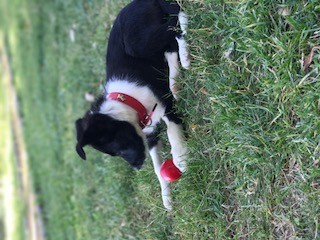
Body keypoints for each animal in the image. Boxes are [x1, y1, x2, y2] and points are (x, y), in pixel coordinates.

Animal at [75, 0, 190, 210]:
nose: (137, 167)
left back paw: (184, 56)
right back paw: (175, 80)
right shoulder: (149, 134)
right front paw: (166, 196)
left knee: (176, 19)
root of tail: (138, 2)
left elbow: (172, 130)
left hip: (141, 40)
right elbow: (157, 167)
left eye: (119, 151)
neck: (128, 99)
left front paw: (180, 157)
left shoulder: (166, 106)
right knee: (170, 46)